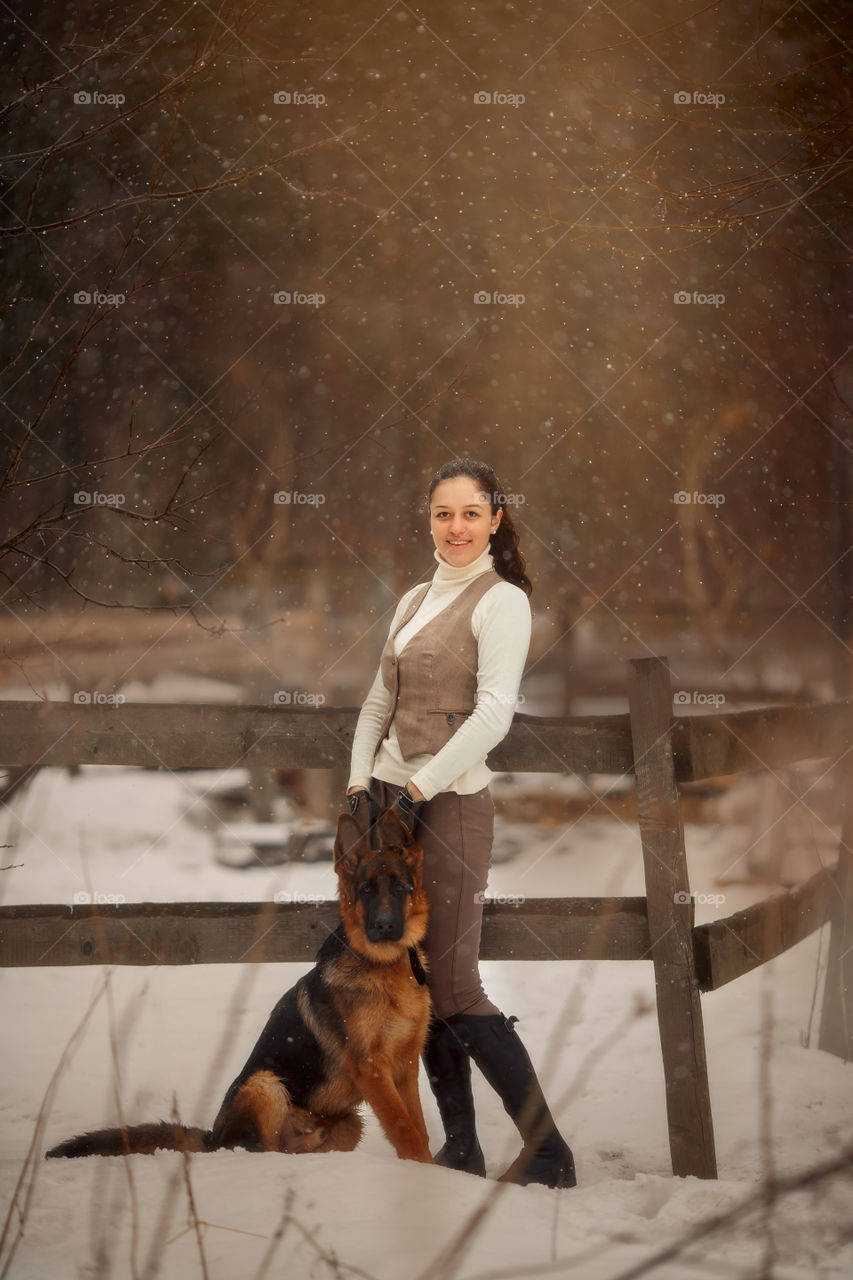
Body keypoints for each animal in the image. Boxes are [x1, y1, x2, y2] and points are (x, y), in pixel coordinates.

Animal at [46, 808, 432, 1162]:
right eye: (366, 891)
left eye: (400, 888)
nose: (384, 926)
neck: (385, 967)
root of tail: (212, 1138)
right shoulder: (371, 1067)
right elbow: (405, 1129)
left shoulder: (406, 1067)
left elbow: (419, 1127)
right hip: (265, 1084)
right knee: (261, 1149)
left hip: (350, 1123)